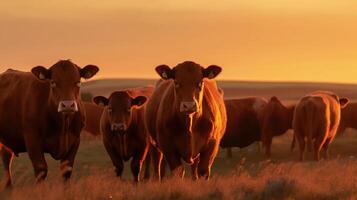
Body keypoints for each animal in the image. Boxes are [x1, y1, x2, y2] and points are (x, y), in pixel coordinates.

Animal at [0, 59, 98, 188]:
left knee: (6, 158)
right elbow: (41, 170)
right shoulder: (32, 139)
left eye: (78, 82)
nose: (67, 105)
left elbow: (66, 172)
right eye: (53, 82)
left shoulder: (75, 140)